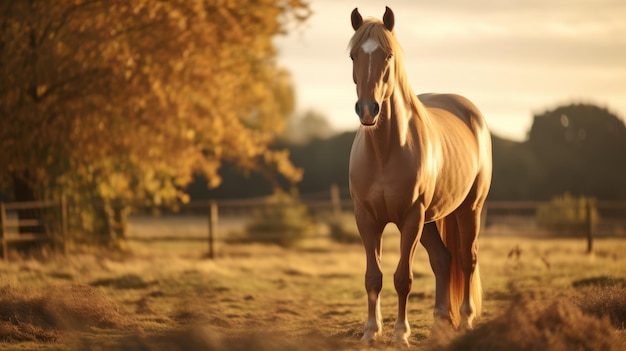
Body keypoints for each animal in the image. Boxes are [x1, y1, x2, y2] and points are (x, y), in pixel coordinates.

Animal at [346, 6, 492, 348]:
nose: (368, 110)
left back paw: (465, 319)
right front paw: (370, 331)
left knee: (466, 258)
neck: (384, 151)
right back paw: (440, 323)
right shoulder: (366, 218)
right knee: (443, 260)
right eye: (353, 55)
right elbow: (373, 277)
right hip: (429, 223)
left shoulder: (410, 218)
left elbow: (403, 278)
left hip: (468, 210)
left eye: (387, 55)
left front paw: (401, 334)